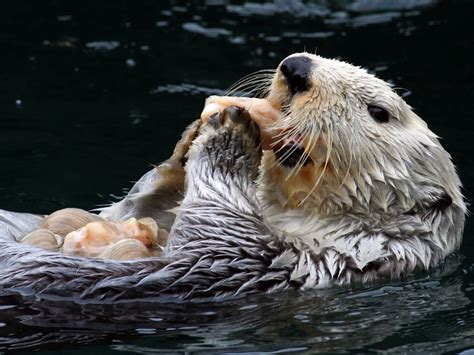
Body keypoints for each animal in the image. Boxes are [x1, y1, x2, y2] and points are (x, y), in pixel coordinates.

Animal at [0, 53, 462, 304]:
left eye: (379, 112)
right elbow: (133, 206)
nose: (296, 68)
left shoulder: (261, 260)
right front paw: (189, 140)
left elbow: (214, 225)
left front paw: (229, 132)